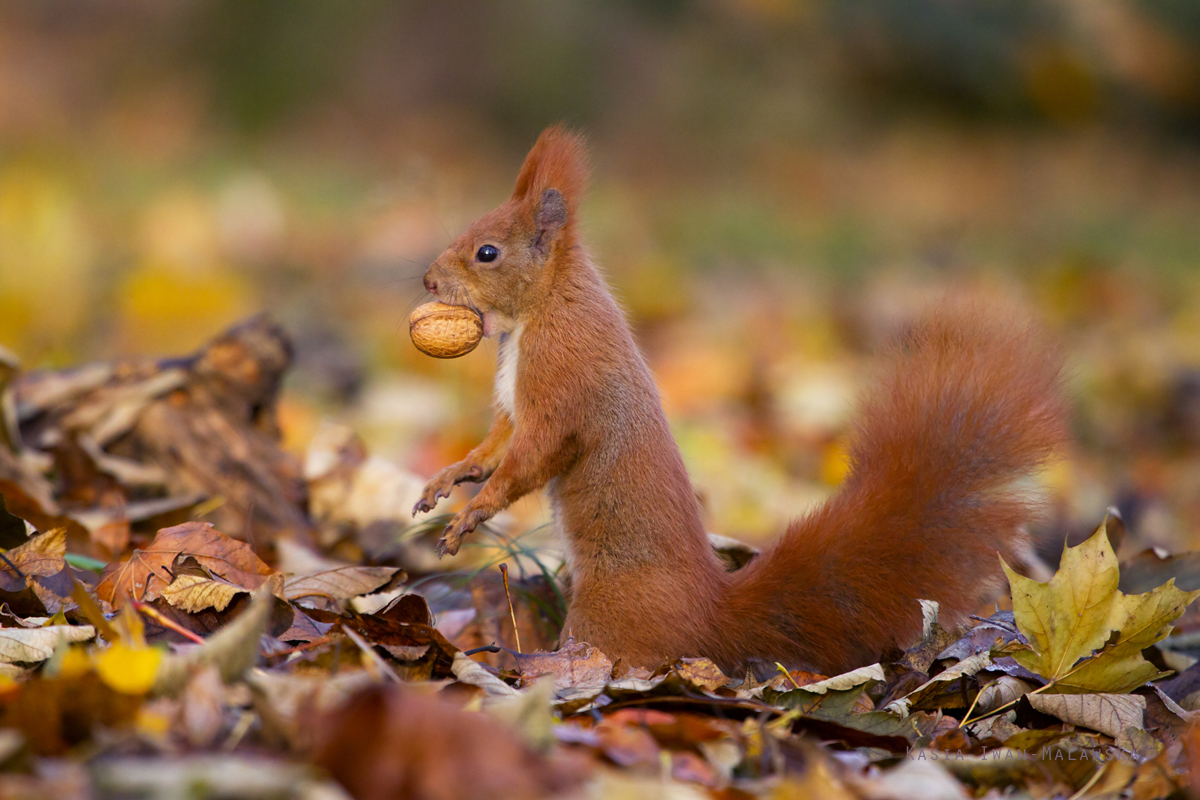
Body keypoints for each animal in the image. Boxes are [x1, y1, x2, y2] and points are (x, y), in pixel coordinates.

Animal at [415, 126, 1070, 676]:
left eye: (488, 252)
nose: (427, 280)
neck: (541, 308)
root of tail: (711, 614)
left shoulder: (562, 379)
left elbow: (533, 455)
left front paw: (473, 514)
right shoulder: (514, 404)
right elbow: (495, 445)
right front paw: (449, 480)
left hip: (607, 613)